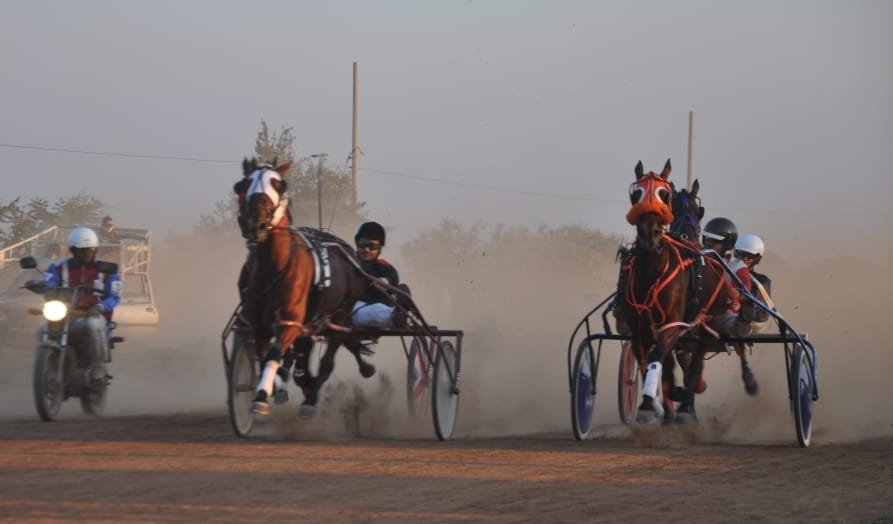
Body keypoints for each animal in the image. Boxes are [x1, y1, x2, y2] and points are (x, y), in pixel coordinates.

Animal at [236, 158, 374, 416]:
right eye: (242, 185)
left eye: (278, 185)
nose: (256, 226)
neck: (275, 267)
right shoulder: (260, 325)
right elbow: (266, 356)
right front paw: (272, 388)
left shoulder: (290, 322)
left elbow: (274, 354)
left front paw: (261, 396)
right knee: (303, 361)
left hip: (341, 316)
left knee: (328, 361)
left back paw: (311, 400)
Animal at [619, 159, 738, 424]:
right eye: (636, 193)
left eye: (664, 194)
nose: (649, 233)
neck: (652, 270)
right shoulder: (638, 327)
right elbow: (649, 361)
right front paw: (656, 402)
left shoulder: (673, 325)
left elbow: (661, 359)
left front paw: (654, 404)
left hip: (709, 322)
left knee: (697, 363)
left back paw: (686, 406)